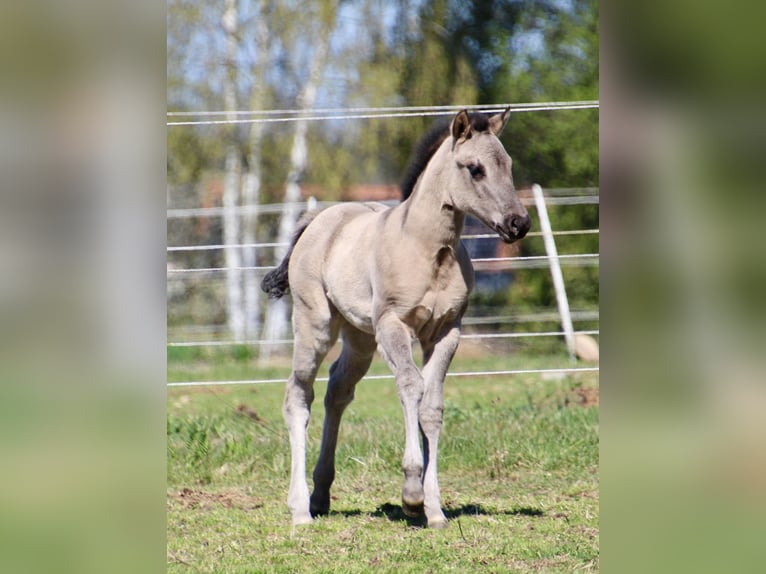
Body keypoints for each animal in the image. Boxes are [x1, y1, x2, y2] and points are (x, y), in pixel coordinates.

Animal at [261, 108, 530, 528]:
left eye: (508, 165)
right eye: (475, 168)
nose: (519, 223)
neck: (429, 251)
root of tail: (318, 219)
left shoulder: (446, 332)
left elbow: (432, 406)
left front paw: (434, 508)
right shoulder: (393, 325)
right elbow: (410, 386)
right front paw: (412, 495)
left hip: (360, 339)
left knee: (338, 391)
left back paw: (321, 495)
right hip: (315, 326)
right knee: (298, 395)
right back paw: (300, 509)